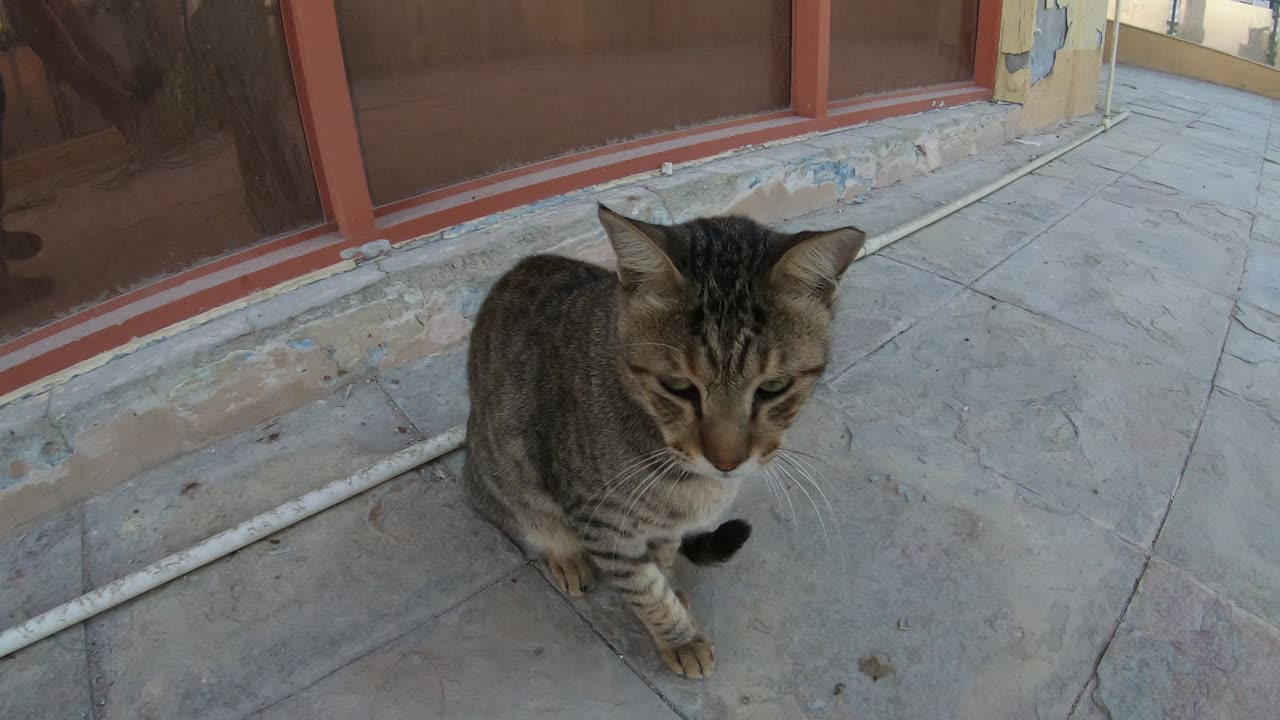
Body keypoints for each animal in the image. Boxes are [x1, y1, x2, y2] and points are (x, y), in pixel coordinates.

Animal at [465, 203, 865, 671]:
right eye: (677, 386)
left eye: (773, 387)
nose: (726, 461)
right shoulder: (602, 520)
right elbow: (644, 588)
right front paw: (680, 638)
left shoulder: (664, 528)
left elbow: (664, 559)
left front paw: (674, 591)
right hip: (505, 478)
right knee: (531, 520)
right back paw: (566, 556)